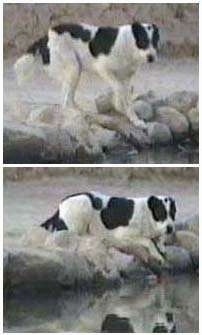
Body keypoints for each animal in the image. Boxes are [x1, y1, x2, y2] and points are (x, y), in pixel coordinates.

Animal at [14, 21, 159, 131]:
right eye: (144, 41)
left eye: (155, 42)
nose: (151, 57)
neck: (129, 45)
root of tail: (47, 36)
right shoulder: (103, 68)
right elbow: (119, 90)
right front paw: (120, 106)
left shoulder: (126, 78)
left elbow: (127, 98)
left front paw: (135, 120)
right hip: (74, 68)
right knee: (66, 101)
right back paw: (79, 116)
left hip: (74, 72)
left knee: (67, 98)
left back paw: (81, 114)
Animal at [40, 193, 175, 266]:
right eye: (161, 213)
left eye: (173, 213)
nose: (170, 228)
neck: (147, 213)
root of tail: (61, 205)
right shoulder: (123, 234)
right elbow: (148, 241)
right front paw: (157, 255)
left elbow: (159, 238)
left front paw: (161, 246)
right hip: (83, 205)